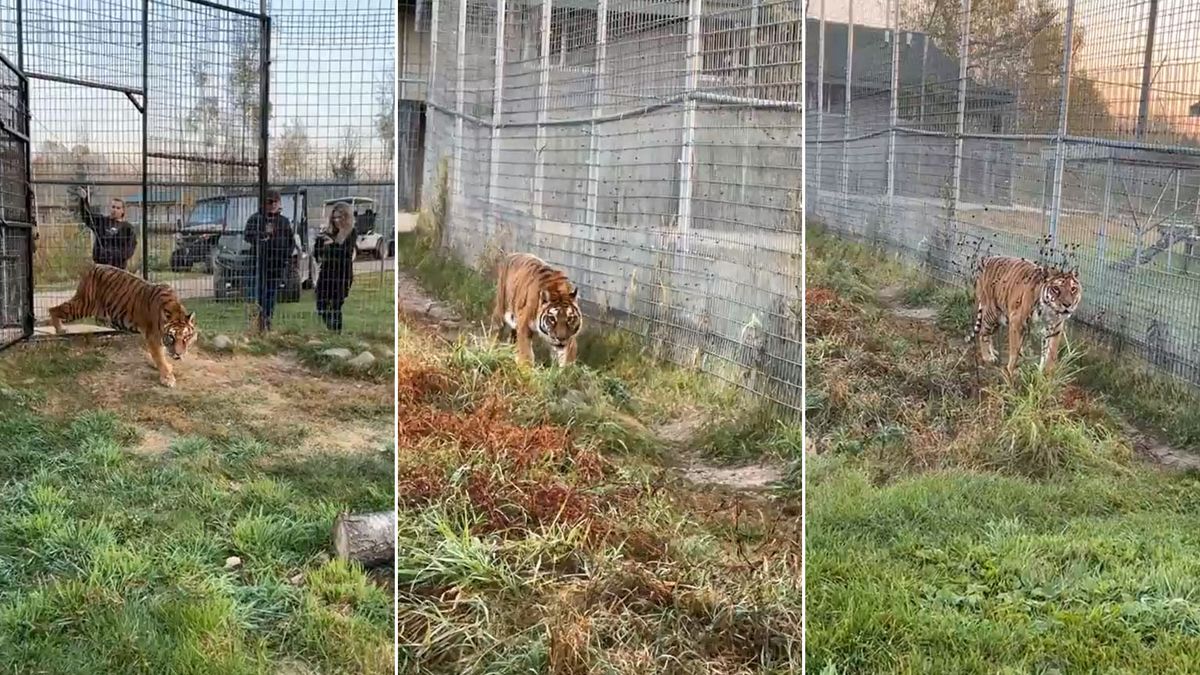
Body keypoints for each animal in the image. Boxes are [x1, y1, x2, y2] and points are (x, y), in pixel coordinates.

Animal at [48, 264, 198, 389]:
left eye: (186, 337)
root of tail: (92, 267)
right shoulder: (153, 337)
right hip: (83, 306)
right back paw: (60, 329)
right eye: (171, 337)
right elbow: (159, 357)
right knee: (53, 309)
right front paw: (167, 378)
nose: (178, 354)